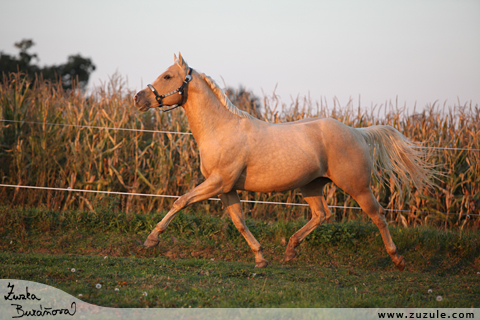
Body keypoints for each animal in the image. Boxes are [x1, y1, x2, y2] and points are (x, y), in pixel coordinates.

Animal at [133, 53, 434, 272]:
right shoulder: (226, 188)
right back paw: (290, 250)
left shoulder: (217, 182)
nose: (138, 98)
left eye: (168, 76)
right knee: (322, 214)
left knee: (378, 215)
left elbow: (180, 201)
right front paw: (260, 258)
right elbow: (239, 221)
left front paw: (151, 240)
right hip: (311, 186)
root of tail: (357, 132)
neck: (221, 129)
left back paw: (397, 259)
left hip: (357, 187)